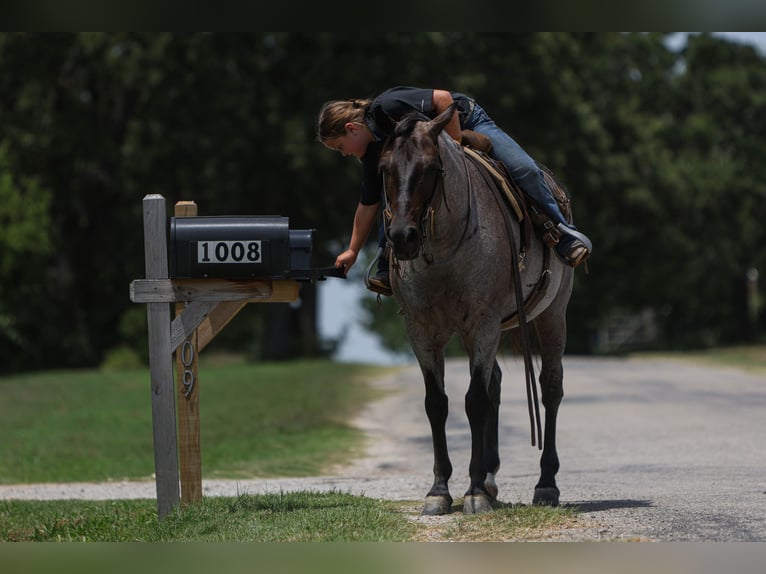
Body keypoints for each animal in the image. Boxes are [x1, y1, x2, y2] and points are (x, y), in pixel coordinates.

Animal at [380, 103, 572, 516]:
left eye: (430, 168)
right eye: (384, 168)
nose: (402, 237)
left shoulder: (483, 325)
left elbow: (475, 401)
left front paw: (474, 492)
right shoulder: (422, 332)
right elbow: (437, 403)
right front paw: (440, 490)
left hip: (552, 316)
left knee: (550, 388)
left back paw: (545, 484)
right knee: (496, 382)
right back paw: (490, 476)